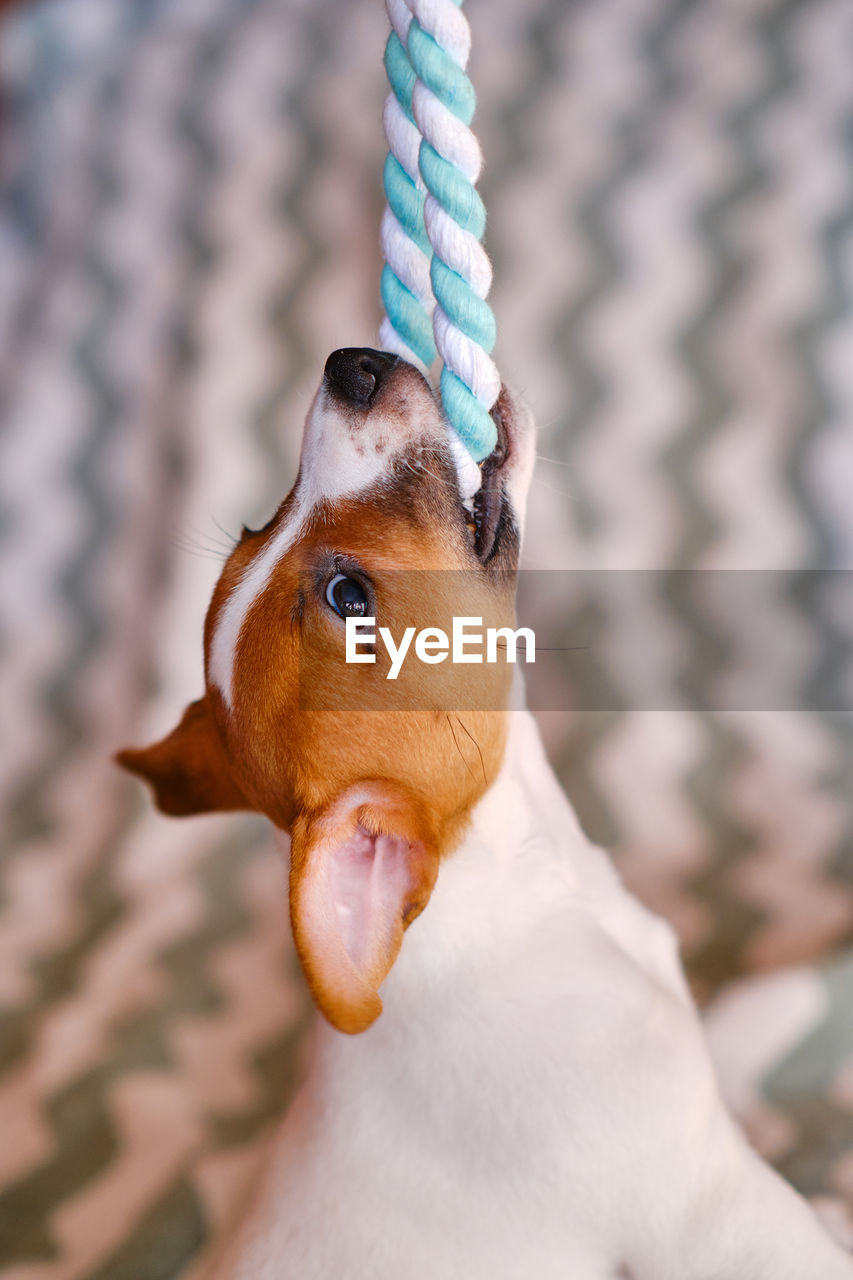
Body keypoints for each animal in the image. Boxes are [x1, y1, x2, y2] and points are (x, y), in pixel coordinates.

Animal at [119, 350, 850, 1280]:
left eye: (257, 526)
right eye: (348, 596)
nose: (350, 364)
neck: (528, 887)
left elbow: (728, 1027)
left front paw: (781, 1004)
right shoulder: (710, 1209)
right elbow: (793, 1238)